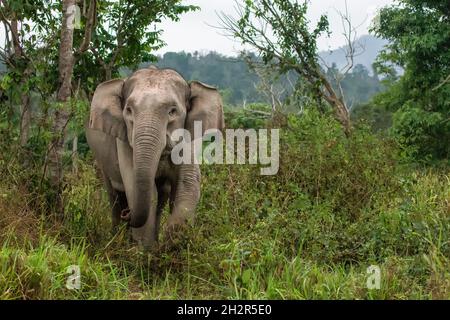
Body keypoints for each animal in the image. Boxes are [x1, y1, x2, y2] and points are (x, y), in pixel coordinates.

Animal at [85, 65, 224, 250]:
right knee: (115, 196)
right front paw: (145, 252)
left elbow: (188, 184)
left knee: (160, 197)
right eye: (128, 110)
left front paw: (170, 243)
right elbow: (140, 188)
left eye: (173, 111)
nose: (127, 214)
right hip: (101, 159)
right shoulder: (125, 139)